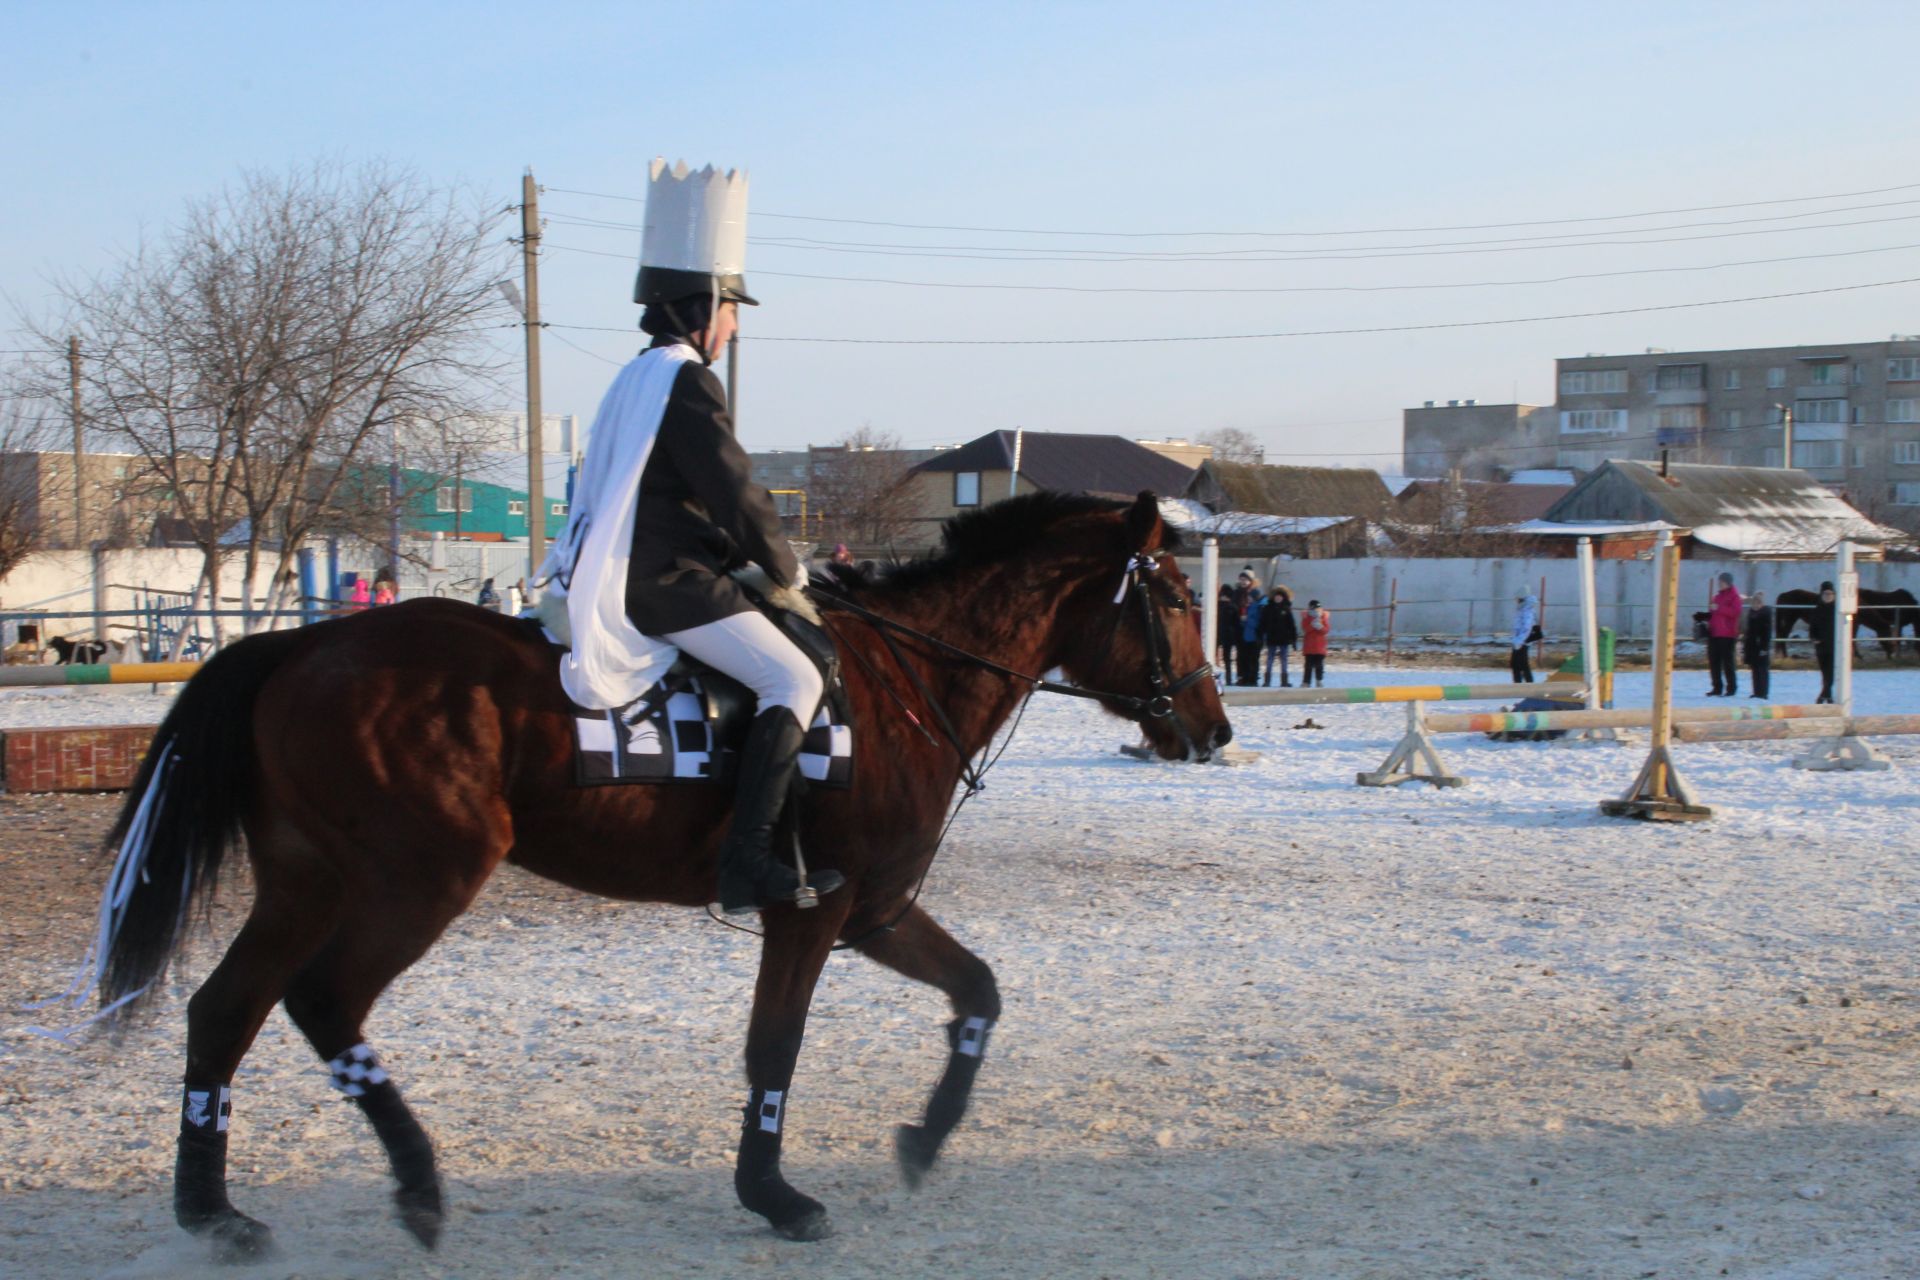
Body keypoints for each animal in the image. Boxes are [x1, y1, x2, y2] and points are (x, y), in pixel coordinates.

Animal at [86, 491, 1228, 1258]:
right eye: (1176, 595)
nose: (1213, 728)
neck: (909, 683)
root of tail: (300, 646)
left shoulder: (877, 910)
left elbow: (978, 991)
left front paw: (924, 1138)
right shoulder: (811, 912)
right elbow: (775, 1043)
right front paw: (775, 1193)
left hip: (305, 881)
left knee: (224, 1008)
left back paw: (215, 1211)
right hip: (420, 879)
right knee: (323, 1001)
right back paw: (415, 1184)